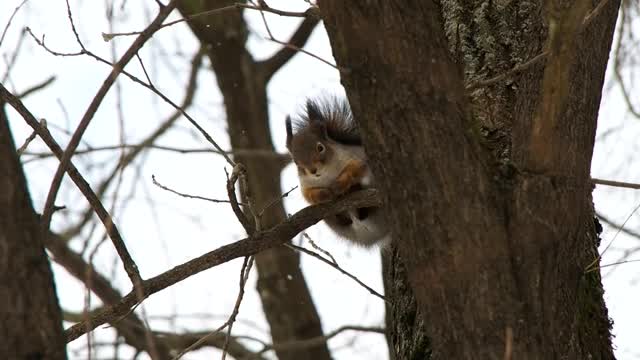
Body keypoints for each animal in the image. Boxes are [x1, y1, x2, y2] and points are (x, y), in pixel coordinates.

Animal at [286, 96, 388, 248]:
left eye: (320, 147)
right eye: (295, 161)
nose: (313, 171)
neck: (327, 174)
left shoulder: (357, 158)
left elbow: (354, 170)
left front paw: (339, 185)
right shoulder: (305, 184)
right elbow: (309, 195)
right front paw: (324, 194)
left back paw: (355, 191)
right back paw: (342, 217)